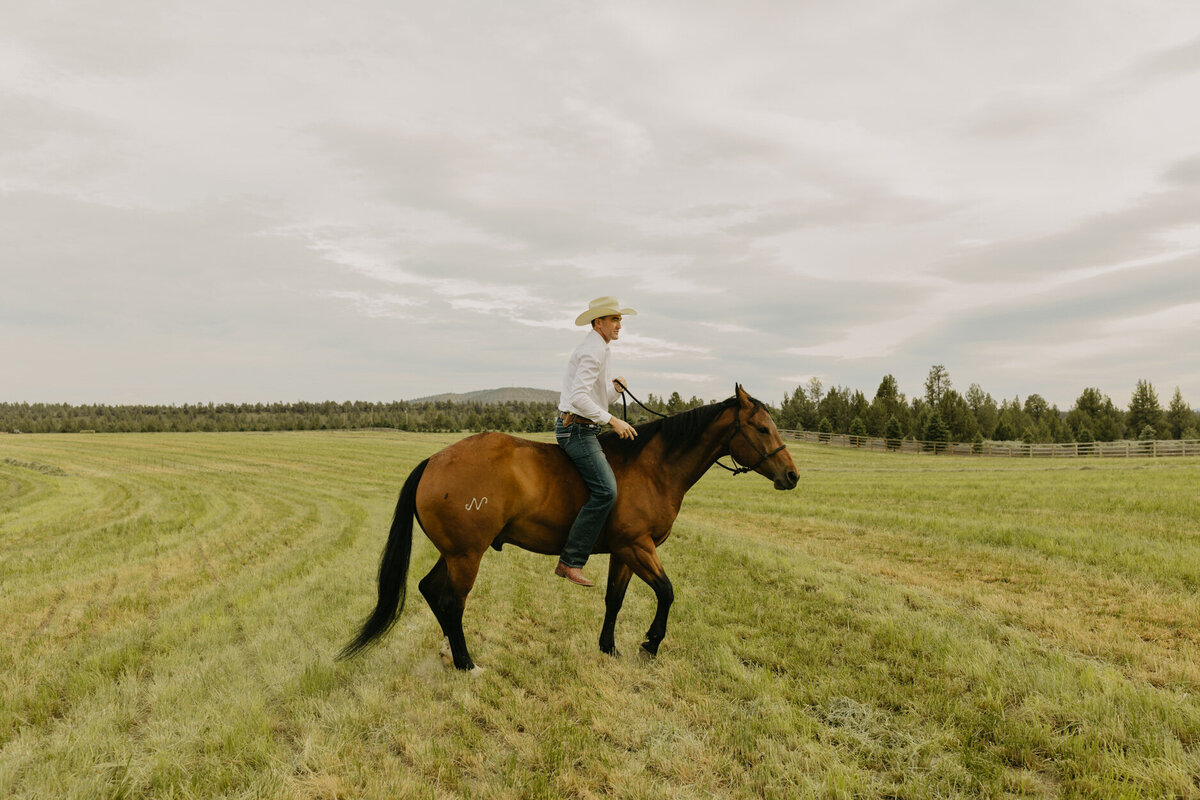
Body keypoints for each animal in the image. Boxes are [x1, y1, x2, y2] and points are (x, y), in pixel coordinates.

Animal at [340, 383, 796, 671]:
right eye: (761, 427)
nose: (791, 476)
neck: (652, 467)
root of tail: (434, 461)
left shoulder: (624, 552)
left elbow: (615, 600)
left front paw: (609, 649)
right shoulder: (639, 546)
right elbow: (667, 593)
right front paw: (650, 643)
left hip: (454, 554)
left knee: (431, 591)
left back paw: (453, 655)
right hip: (466, 556)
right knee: (452, 602)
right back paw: (466, 663)